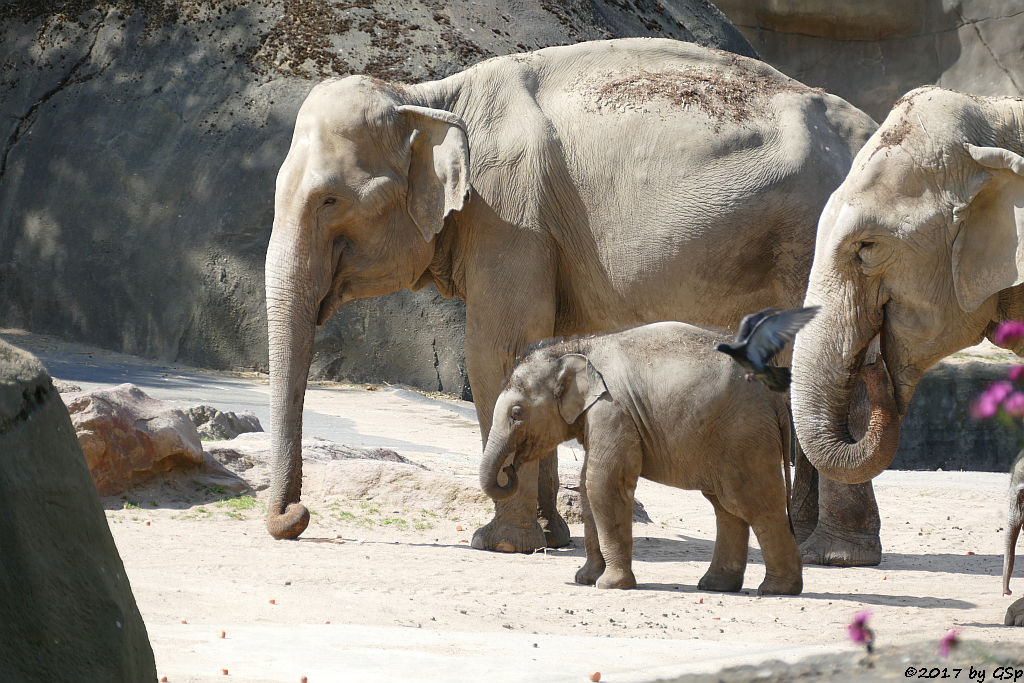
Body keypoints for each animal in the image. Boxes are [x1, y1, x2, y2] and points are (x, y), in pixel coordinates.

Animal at [262, 36, 872, 557]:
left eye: (330, 200)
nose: (296, 518)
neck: (429, 98)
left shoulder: (511, 213)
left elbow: (496, 350)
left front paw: (499, 544)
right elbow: (538, 347)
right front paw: (551, 537)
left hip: (816, 239)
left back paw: (835, 554)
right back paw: (811, 544)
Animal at [479, 323, 815, 593]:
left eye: (517, 413)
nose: (510, 469)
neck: (577, 347)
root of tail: (775, 398)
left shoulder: (613, 410)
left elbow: (603, 484)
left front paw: (610, 586)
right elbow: (588, 488)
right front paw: (584, 579)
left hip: (744, 434)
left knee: (755, 504)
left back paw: (775, 590)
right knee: (726, 507)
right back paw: (716, 586)